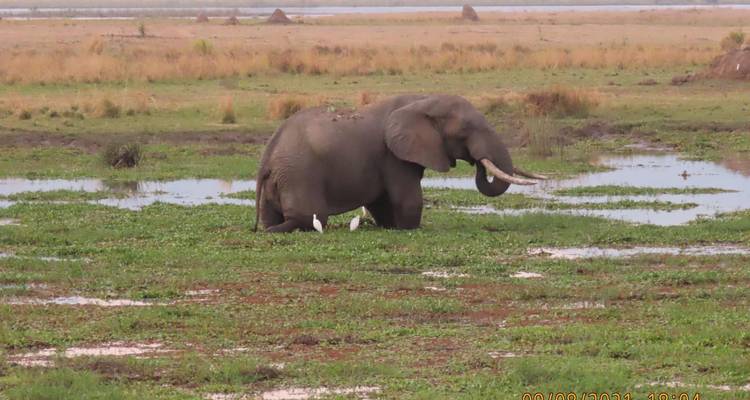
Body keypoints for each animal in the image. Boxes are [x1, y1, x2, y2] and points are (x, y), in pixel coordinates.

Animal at [254, 94, 546, 233]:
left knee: (271, 218)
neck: (422, 100)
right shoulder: (392, 155)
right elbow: (407, 199)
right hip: (299, 174)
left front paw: (390, 226)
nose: (477, 163)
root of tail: (267, 157)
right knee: (309, 218)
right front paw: (410, 228)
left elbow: (382, 202)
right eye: (465, 129)